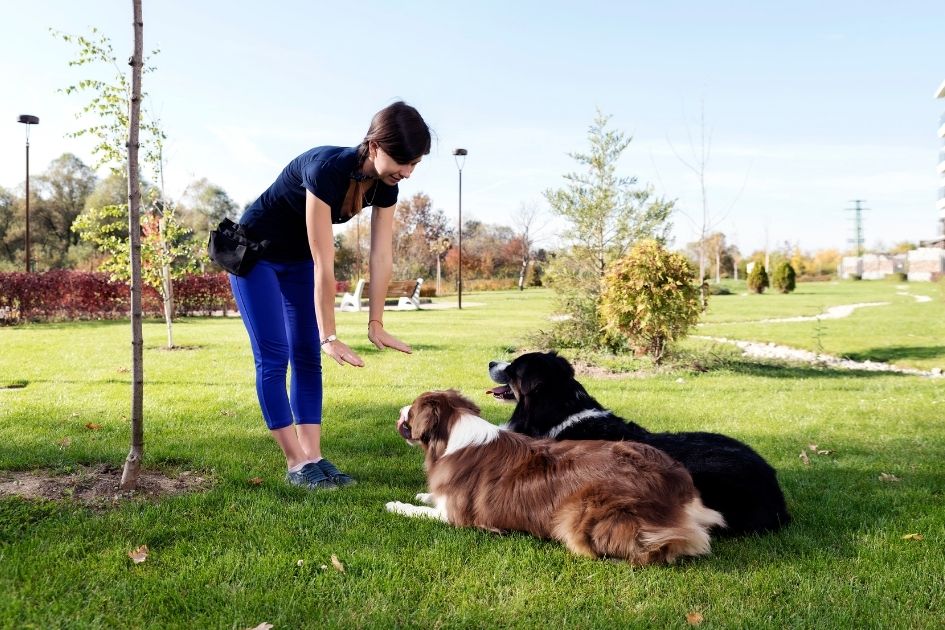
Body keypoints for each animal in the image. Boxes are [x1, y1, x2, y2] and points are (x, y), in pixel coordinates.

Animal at [388, 390, 728, 568]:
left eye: (412, 410)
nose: (400, 408)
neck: (453, 436)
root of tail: (677, 484)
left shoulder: (455, 516)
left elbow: (420, 511)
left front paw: (396, 505)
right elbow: (429, 498)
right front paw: (422, 494)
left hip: (583, 513)